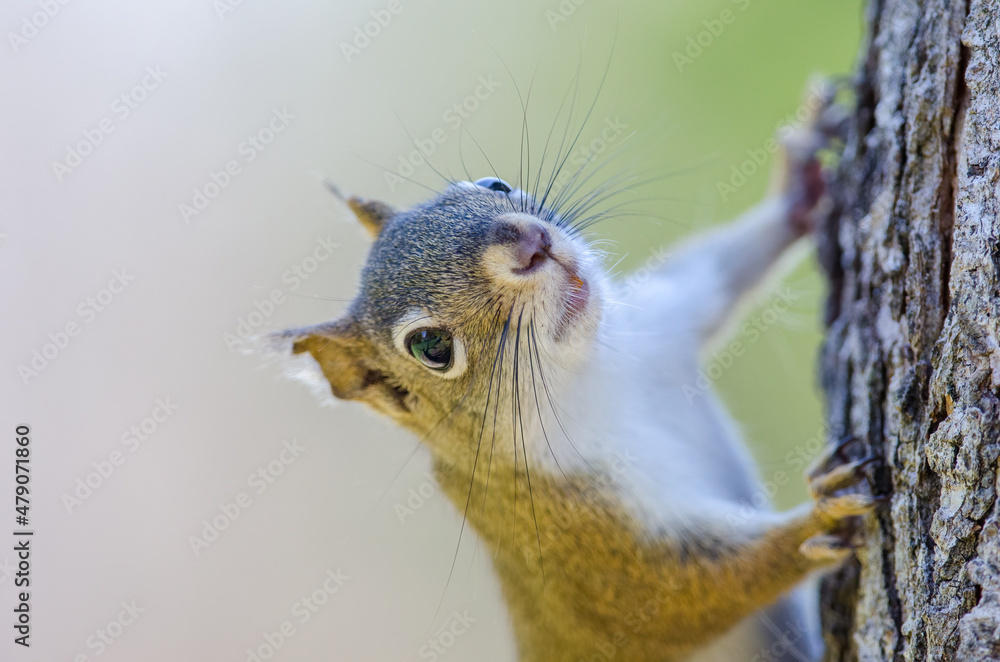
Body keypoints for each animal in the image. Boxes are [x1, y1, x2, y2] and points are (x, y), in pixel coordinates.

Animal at [272, 84, 876, 662]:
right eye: (430, 347)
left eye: (491, 183)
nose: (529, 242)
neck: (594, 374)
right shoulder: (578, 541)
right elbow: (685, 593)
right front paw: (820, 519)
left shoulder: (661, 323)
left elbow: (719, 273)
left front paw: (798, 184)